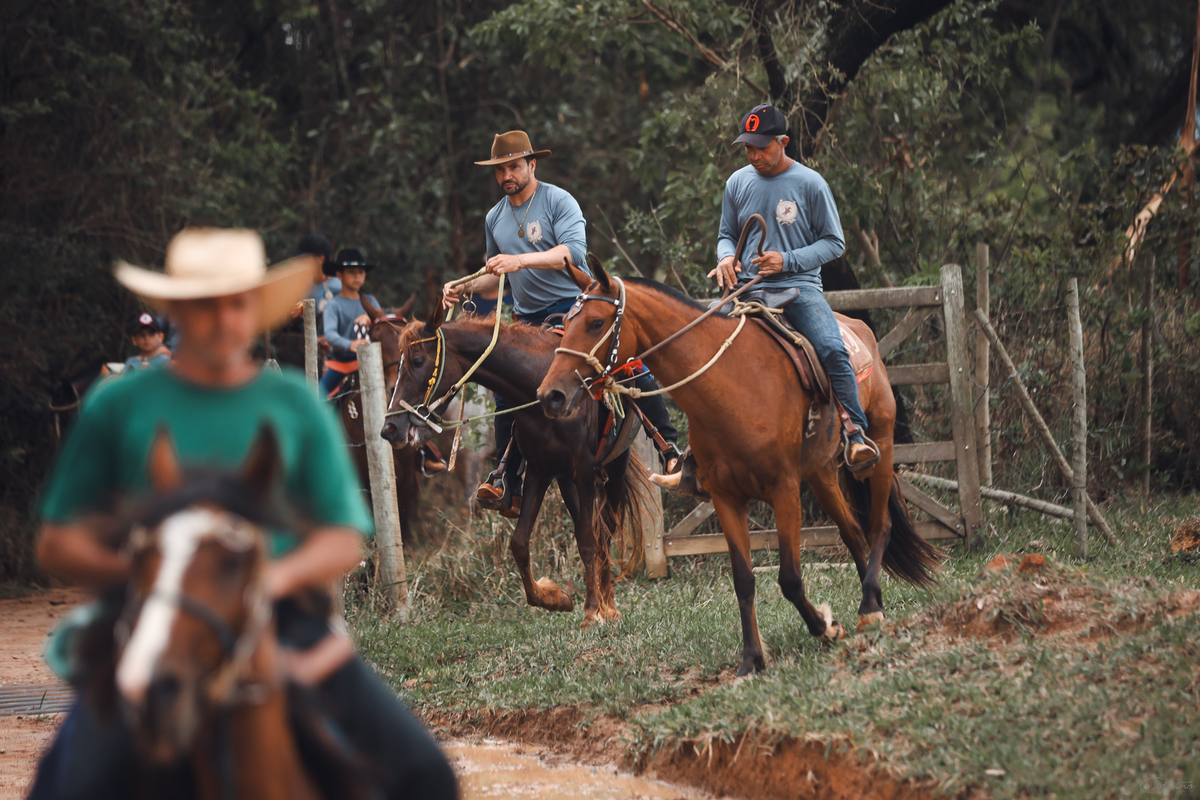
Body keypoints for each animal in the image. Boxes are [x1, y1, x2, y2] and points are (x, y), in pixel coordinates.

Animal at [374, 304, 648, 628]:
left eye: (417, 361)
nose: (390, 429)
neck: (537, 388)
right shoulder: (542, 471)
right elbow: (520, 543)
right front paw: (554, 598)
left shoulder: (582, 470)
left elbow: (589, 540)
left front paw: (592, 611)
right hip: (566, 481)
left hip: (613, 469)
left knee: (604, 531)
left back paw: (609, 605)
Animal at [537, 260, 942, 675]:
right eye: (565, 321)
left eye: (596, 323)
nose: (550, 395)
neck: (733, 385)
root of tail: (860, 330)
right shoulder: (726, 497)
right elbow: (744, 580)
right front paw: (751, 659)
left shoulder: (784, 490)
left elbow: (790, 578)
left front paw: (825, 627)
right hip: (821, 474)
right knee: (852, 532)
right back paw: (868, 602)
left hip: (883, 442)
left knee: (879, 525)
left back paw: (871, 606)